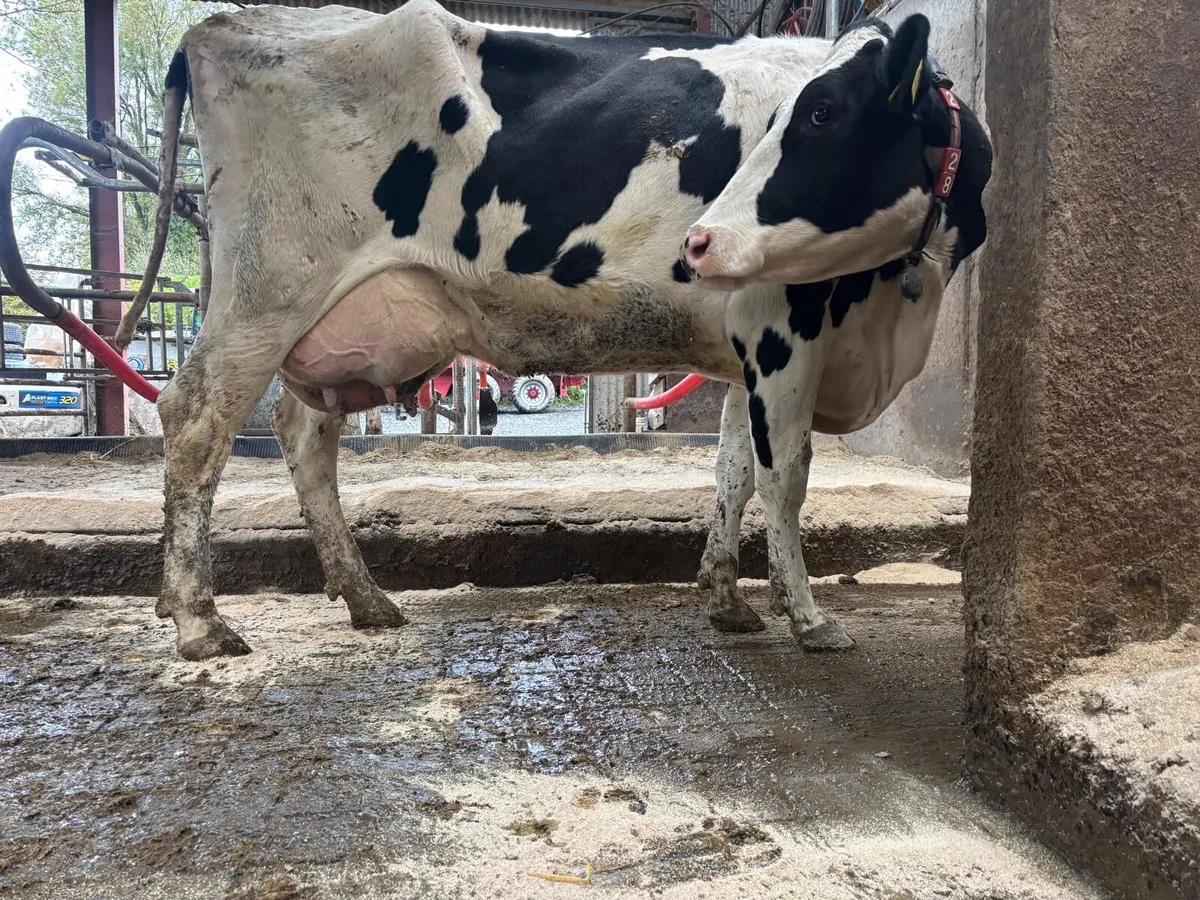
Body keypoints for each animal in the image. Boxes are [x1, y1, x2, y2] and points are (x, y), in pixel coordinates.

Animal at [132, 0, 989, 660]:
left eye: (819, 112)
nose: (702, 242)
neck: (901, 309)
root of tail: (222, 24)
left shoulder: (745, 353)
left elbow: (733, 474)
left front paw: (728, 600)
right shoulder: (783, 328)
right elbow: (787, 479)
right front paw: (808, 618)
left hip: (331, 317)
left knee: (305, 435)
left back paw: (366, 598)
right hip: (268, 290)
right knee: (197, 421)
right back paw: (199, 622)